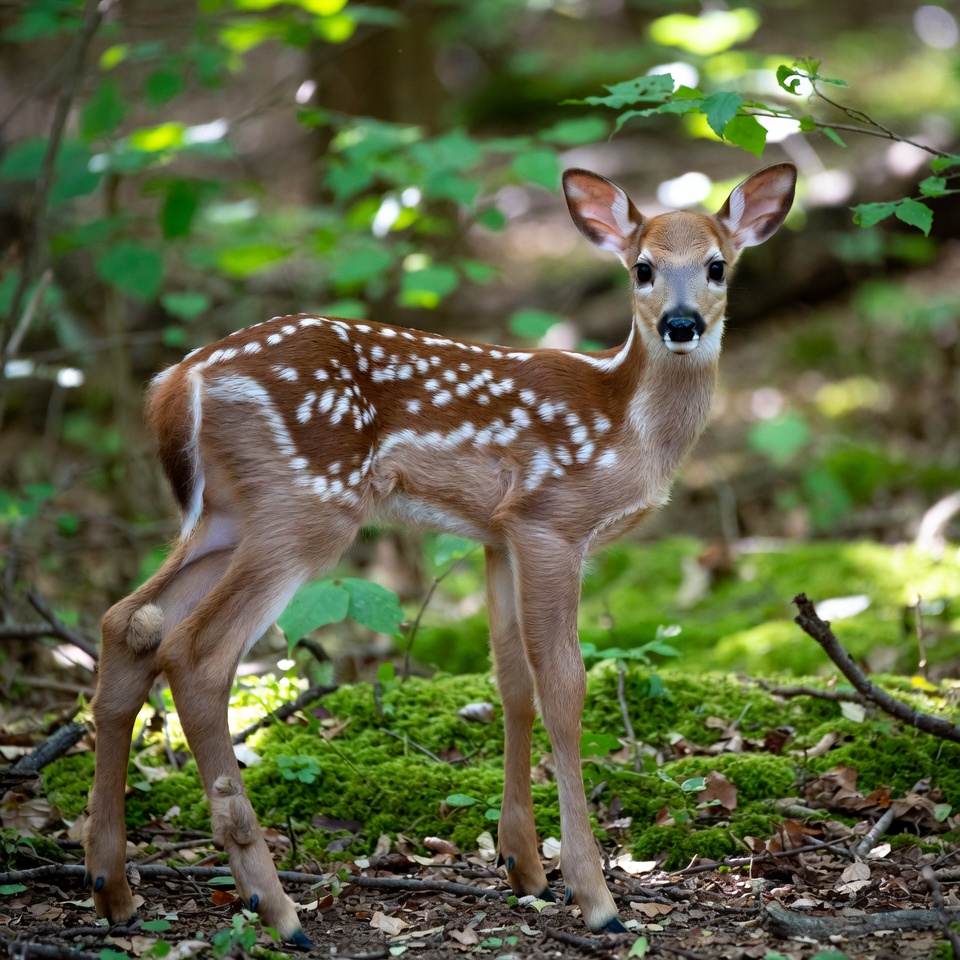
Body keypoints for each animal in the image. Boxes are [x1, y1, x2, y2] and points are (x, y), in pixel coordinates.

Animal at [83, 161, 796, 944]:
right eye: (643, 267)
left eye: (717, 266)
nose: (681, 323)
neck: (627, 425)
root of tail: (178, 382)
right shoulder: (552, 521)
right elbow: (564, 686)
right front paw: (595, 896)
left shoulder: (498, 535)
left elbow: (512, 680)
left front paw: (526, 869)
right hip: (304, 506)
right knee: (198, 652)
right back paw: (276, 908)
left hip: (222, 516)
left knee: (128, 622)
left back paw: (113, 888)